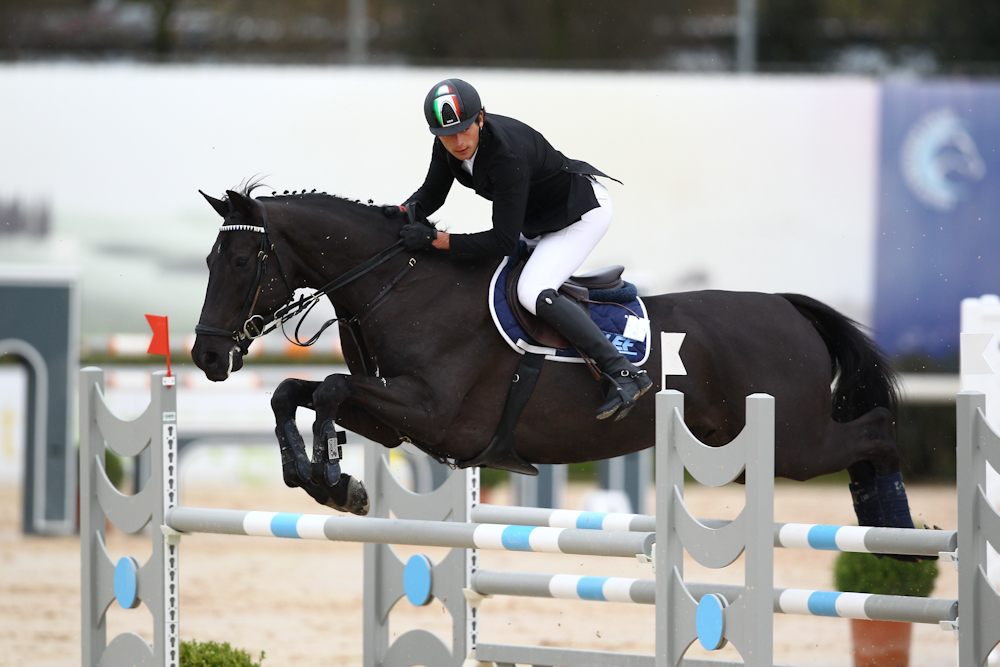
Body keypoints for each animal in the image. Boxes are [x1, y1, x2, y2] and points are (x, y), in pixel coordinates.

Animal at [193, 188, 916, 532]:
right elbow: (291, 391)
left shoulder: (430, 411)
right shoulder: (395, 419)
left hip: (790, 440)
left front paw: (333, 477)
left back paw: (897, 534)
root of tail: (788, 307)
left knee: (877, 431)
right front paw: (327, 481)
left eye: (242, 260)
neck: (396, 283)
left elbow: (329, 392)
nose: (205, 355)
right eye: (208, 259)